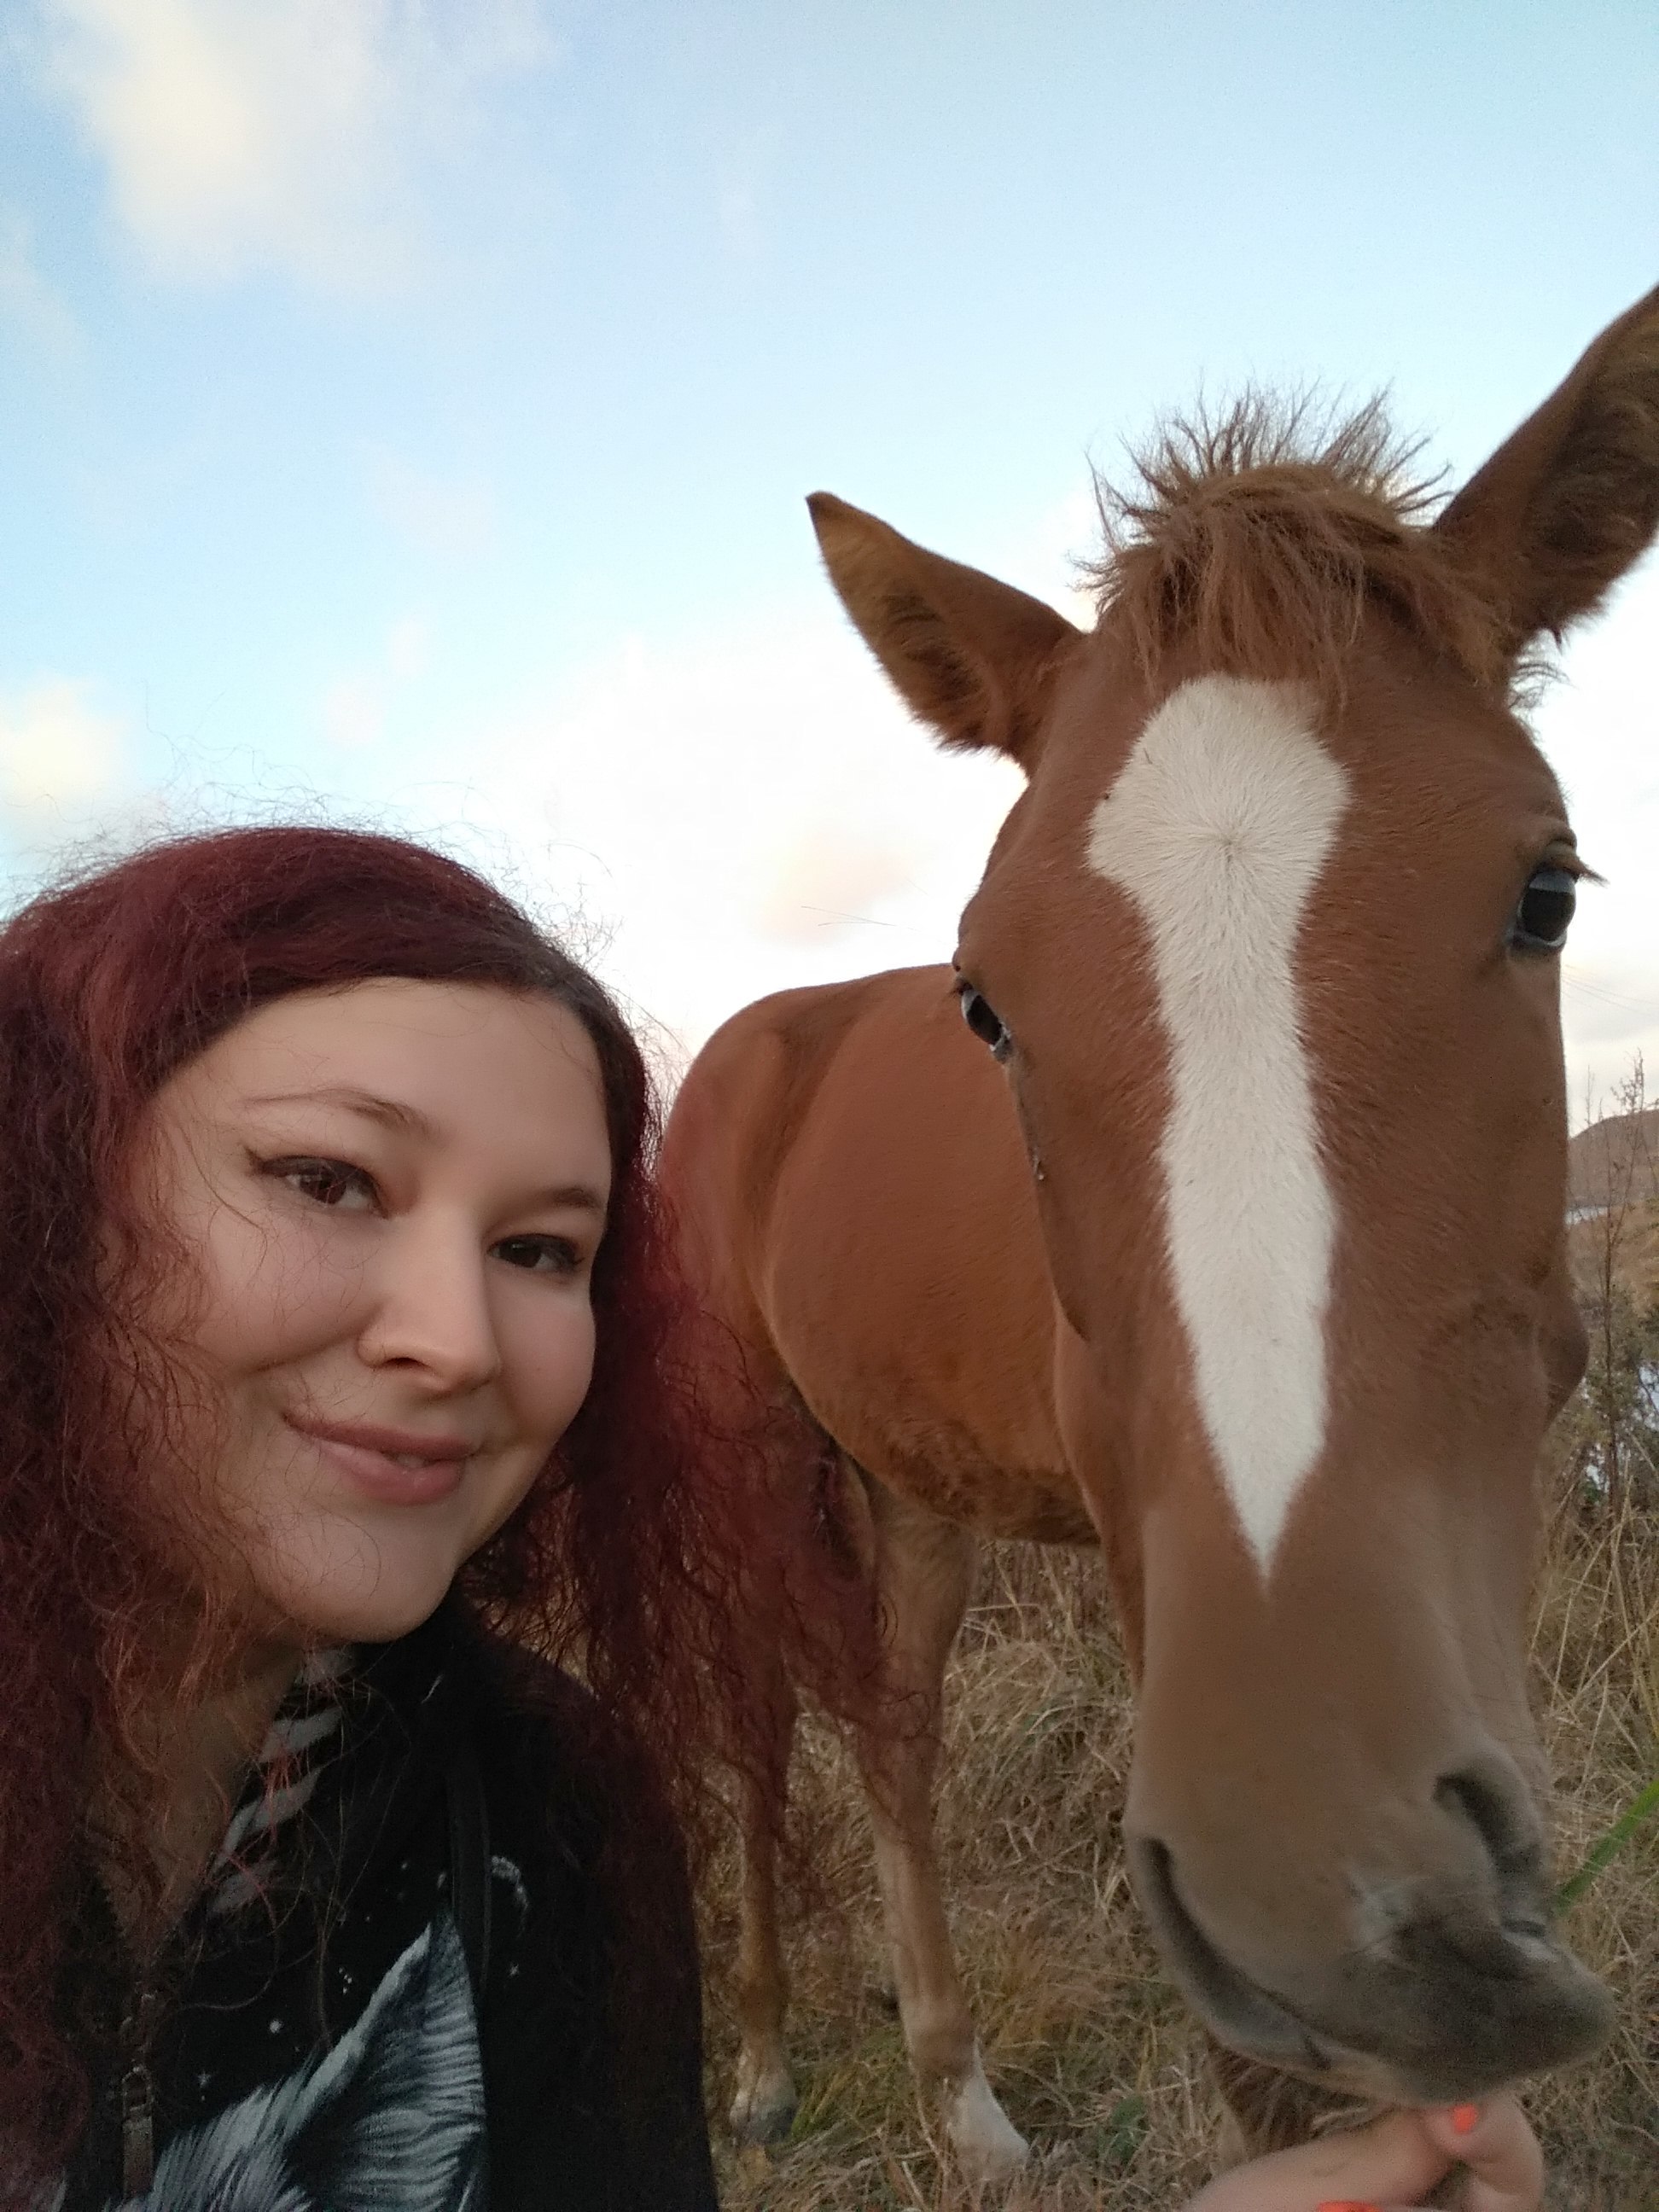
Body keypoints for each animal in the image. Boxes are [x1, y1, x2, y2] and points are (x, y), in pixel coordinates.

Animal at [663, 281, 1659, 2176]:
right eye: (986, 999)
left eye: (1548, 892)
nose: (1353, 1887)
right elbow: (1263, 2089)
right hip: (748, 1479)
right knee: (752, 1743)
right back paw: (759, 2051)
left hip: (909, 1493)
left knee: (893, 1741)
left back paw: (953, 2085)